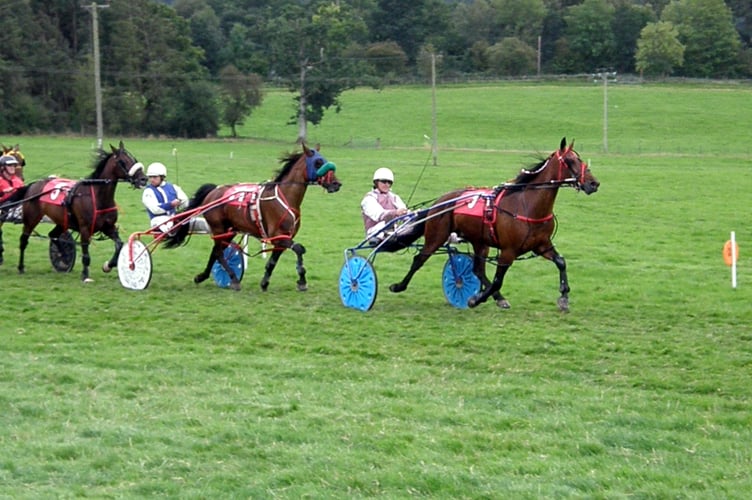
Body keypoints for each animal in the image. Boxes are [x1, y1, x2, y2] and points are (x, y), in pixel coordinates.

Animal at [13, 141, 147, 282]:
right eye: (123, 161)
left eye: (133, 158)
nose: (143, 179)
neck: (98, 197)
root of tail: (33, 185)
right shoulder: (85, 228)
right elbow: (86, 254)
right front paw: (85, 275)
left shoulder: (108, 226)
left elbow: (119, 245)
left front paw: (108, 265)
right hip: (31, 219)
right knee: (24, 240)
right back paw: (21, 267)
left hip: (62, 221)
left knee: (53, 235)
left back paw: (63, 255)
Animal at [165, 145, 344, 292]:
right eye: (318, 162)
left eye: (324, 160)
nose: (336, 184)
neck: (286, 197)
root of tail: (214, 191)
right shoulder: (279, 237)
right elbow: (300, 249)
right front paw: (302, 281)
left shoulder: (281, 239)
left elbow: (272, 263)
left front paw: (265, 282)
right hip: (219, 229)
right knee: (219, 254)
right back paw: (233, 279)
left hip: (229, 231)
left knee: (215, 253)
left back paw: (202, 276)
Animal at [388, 137, 600, 308]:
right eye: (570, 160)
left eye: (580, 158)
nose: (594, 183)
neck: (526, 205)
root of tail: (439, 201)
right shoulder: (508, 251)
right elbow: (499, 279)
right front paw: (476, 299)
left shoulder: (542, 245)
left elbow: (561, 262)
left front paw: (564, 297)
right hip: (436, 236)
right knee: (419, 259)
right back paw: (399, 286)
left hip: (480, 241)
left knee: (477, 269)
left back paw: (497, 297)